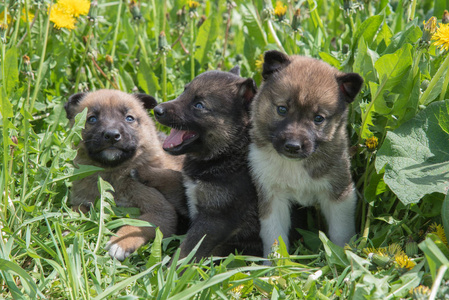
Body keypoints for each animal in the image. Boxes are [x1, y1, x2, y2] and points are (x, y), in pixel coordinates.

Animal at [64, 88, 182, 260]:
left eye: (129, 118)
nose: (112, 135)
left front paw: (120, 242)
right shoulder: (83, 201)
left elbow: (135, 224)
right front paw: (67, 228)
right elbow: (75, 212)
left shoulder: (162, 212)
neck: (112, 173)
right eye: (92, 119)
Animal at [250, 51, 362, 258]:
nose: (293, 147)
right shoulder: (272, 196)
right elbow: (274, 237)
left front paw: (343, 256)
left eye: (318, 118)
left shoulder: (339, 193)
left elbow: (341, 231)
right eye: (282, 109)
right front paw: (274, 263)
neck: (294, 165)